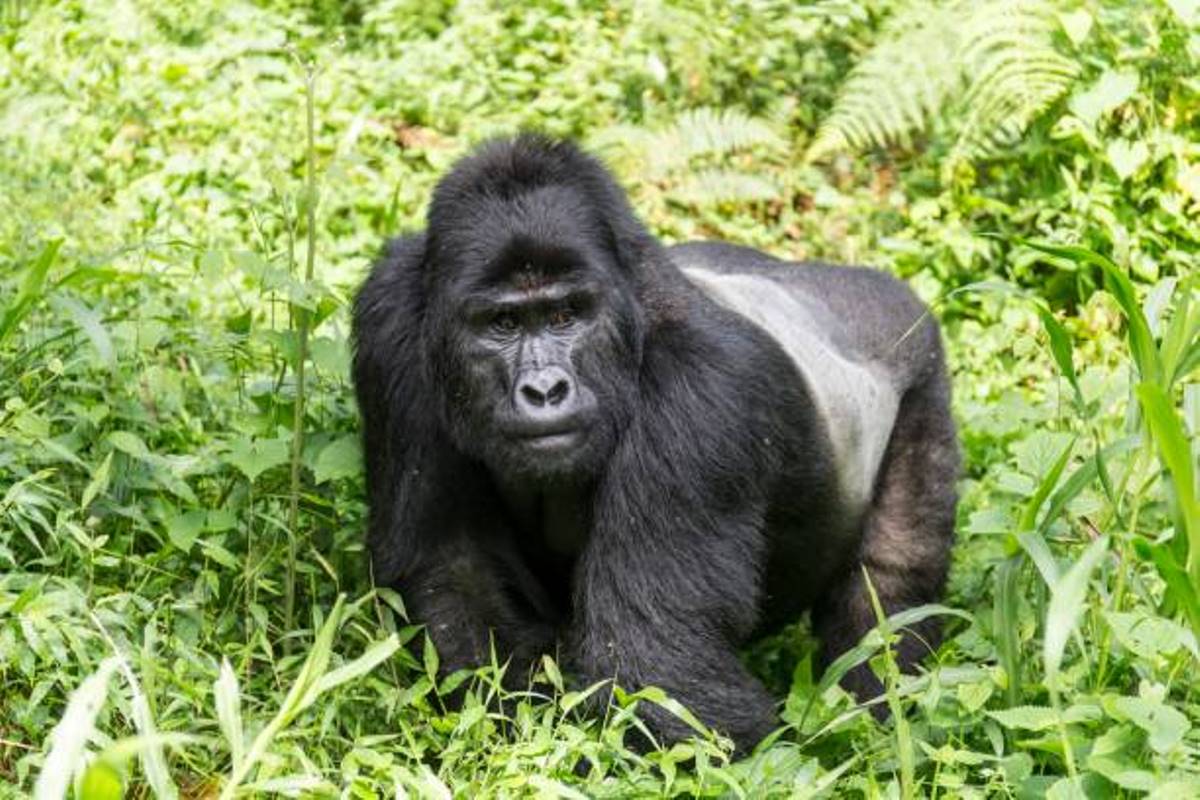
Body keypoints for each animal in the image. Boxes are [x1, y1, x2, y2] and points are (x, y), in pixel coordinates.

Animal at [350, 134, 960, 753]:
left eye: (565, 315)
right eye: (502, 324)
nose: (544, 391)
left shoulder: (705, 388)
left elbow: (655, 661)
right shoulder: (392, 323)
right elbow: (456, 577)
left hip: (920, 360)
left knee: (889, 586)